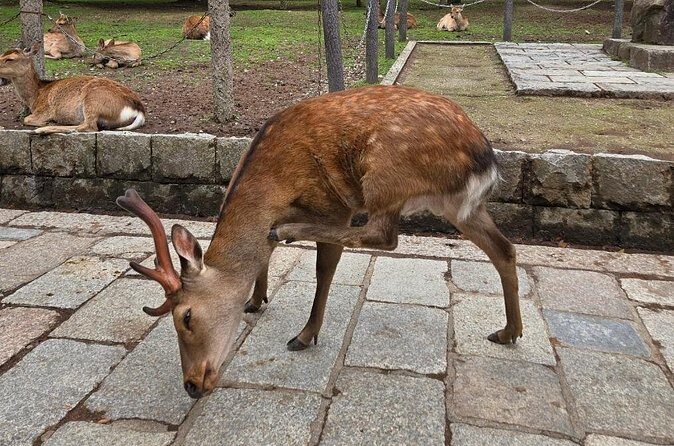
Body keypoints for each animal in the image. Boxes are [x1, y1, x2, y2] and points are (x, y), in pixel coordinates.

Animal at [0, 45, 146, 134]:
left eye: (10, 59)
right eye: (1, 55)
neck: (36, 96)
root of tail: (139, 111)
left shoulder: (44, 110)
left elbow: (26, 119)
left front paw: (44, 123)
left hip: (93, 100)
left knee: (89, 126)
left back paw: (45, 128)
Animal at [116, 85, 523, 399]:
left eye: (186, 316)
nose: (191, 385)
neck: (272, 186)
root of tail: (484, 157)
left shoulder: (333, 205)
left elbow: (323, 268)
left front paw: (305, 334)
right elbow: (264, 259)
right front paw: (255, 300)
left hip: (385, 174)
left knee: (384, 235)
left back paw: (287, 231)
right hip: (457, 205)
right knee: (504, 247)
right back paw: (508, 331)